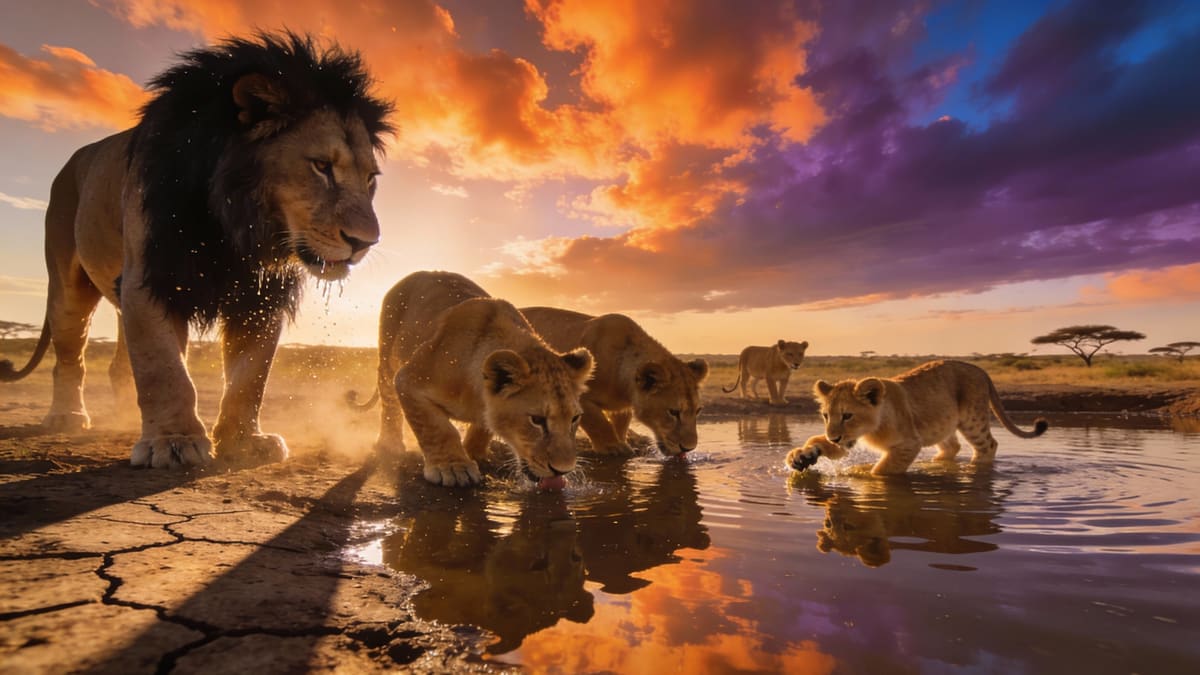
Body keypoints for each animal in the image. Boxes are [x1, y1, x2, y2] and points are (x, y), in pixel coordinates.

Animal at [0, 33, 393, 468]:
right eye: (321, 166)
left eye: (370, 179)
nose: (365, 242)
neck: (237, 227)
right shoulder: (151, 277)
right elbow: (164, 368)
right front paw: (173, 441)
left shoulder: (260, 294)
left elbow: (250, 376)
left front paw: (244, 440)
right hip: (69, 288)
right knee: (71, 357)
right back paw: (67, 416)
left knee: (120, 364)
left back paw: (125, 419)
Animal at [378, 272, 593, 487]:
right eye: (537, 420)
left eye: (575, 418)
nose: (563, 470)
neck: (476, 394)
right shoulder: (409, 379)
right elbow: (437, 428)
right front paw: (452, 468)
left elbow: (484, 427)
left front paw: (474, 453)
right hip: (387, 358)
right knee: (389, 402)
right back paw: (390, 443)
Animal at [520, 307, 708, 457]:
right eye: (673, 412)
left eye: (698, 411)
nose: (689, 448)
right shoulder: (578, 397)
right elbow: (598, 423)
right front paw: (613, 448)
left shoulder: (622, 406)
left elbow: (620, 423)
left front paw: (622, 442)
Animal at [790, 360, 1047, 475]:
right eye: (826, 416)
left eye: (847, 415)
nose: (833, 438)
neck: (873, 425)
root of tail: (981, 369)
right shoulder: (848, 440)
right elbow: (817, 442)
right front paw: (801, 456)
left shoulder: (909, 443)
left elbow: (881, 470)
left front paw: (866, 476)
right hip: (942, 423)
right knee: (953, 447)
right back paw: (938, 464)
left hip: (972, 420)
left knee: (989, 445)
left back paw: (974, 469)